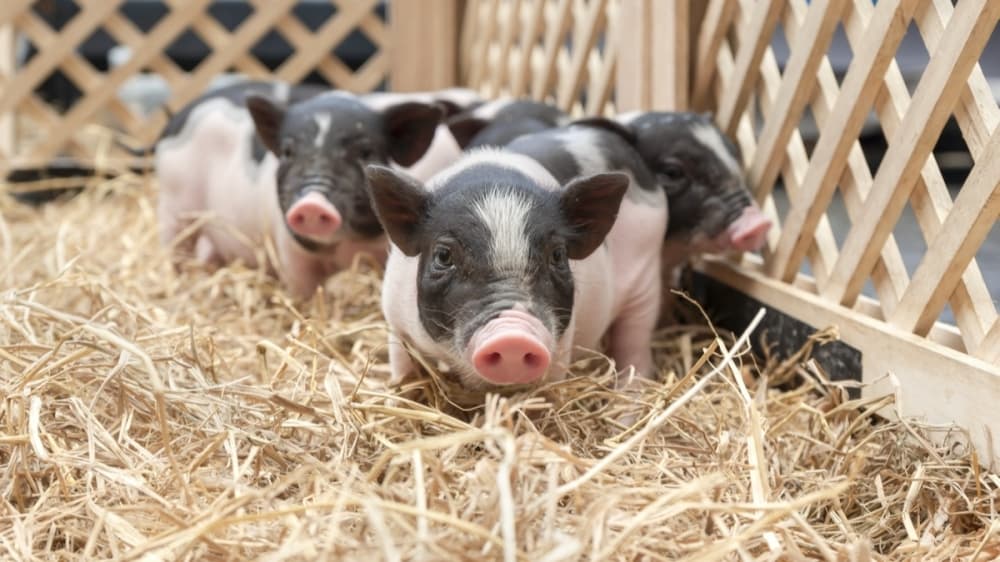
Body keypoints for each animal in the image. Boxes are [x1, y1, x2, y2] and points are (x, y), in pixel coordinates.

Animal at [154, 80, 442, 298]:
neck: (342, 246)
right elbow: (303, 288)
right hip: (174, 204)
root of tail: (175, 118)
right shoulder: (290, 248)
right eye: (288, 152)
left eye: (365, 151)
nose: (312, 203)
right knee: (176, 246)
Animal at [366, 123, 667, 392]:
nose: (512, 337)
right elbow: (402, 371)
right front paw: (397, 392)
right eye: (443, 255)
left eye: (557, 255)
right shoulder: (394, 317)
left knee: (635, 348)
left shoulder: (561, 342)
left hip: (646, 280)